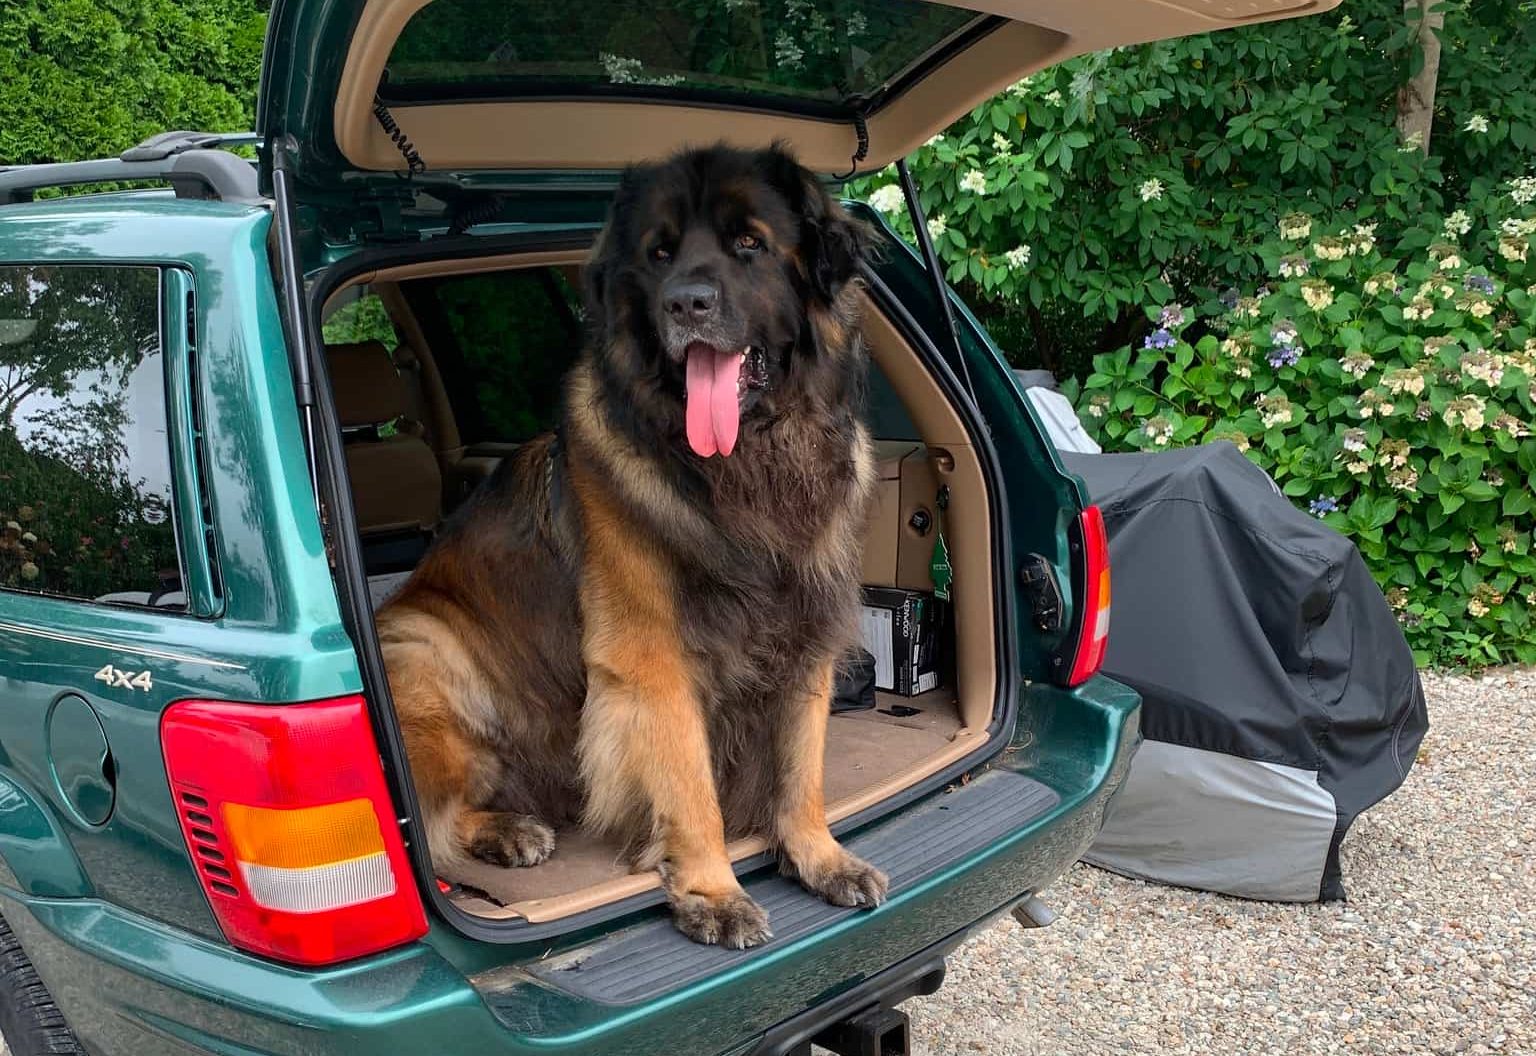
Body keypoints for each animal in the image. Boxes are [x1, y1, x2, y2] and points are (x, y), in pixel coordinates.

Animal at [377, 141, 890, 951]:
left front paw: (819, 856)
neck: (749, 464)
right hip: (426, 661)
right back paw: (512, 831)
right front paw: (713, 891)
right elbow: (691, 785)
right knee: (432, 826)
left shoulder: (806, 634)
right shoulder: (653, 661)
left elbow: (800, 770)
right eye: (659, 254)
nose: (686, 304)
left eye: (750, 243)